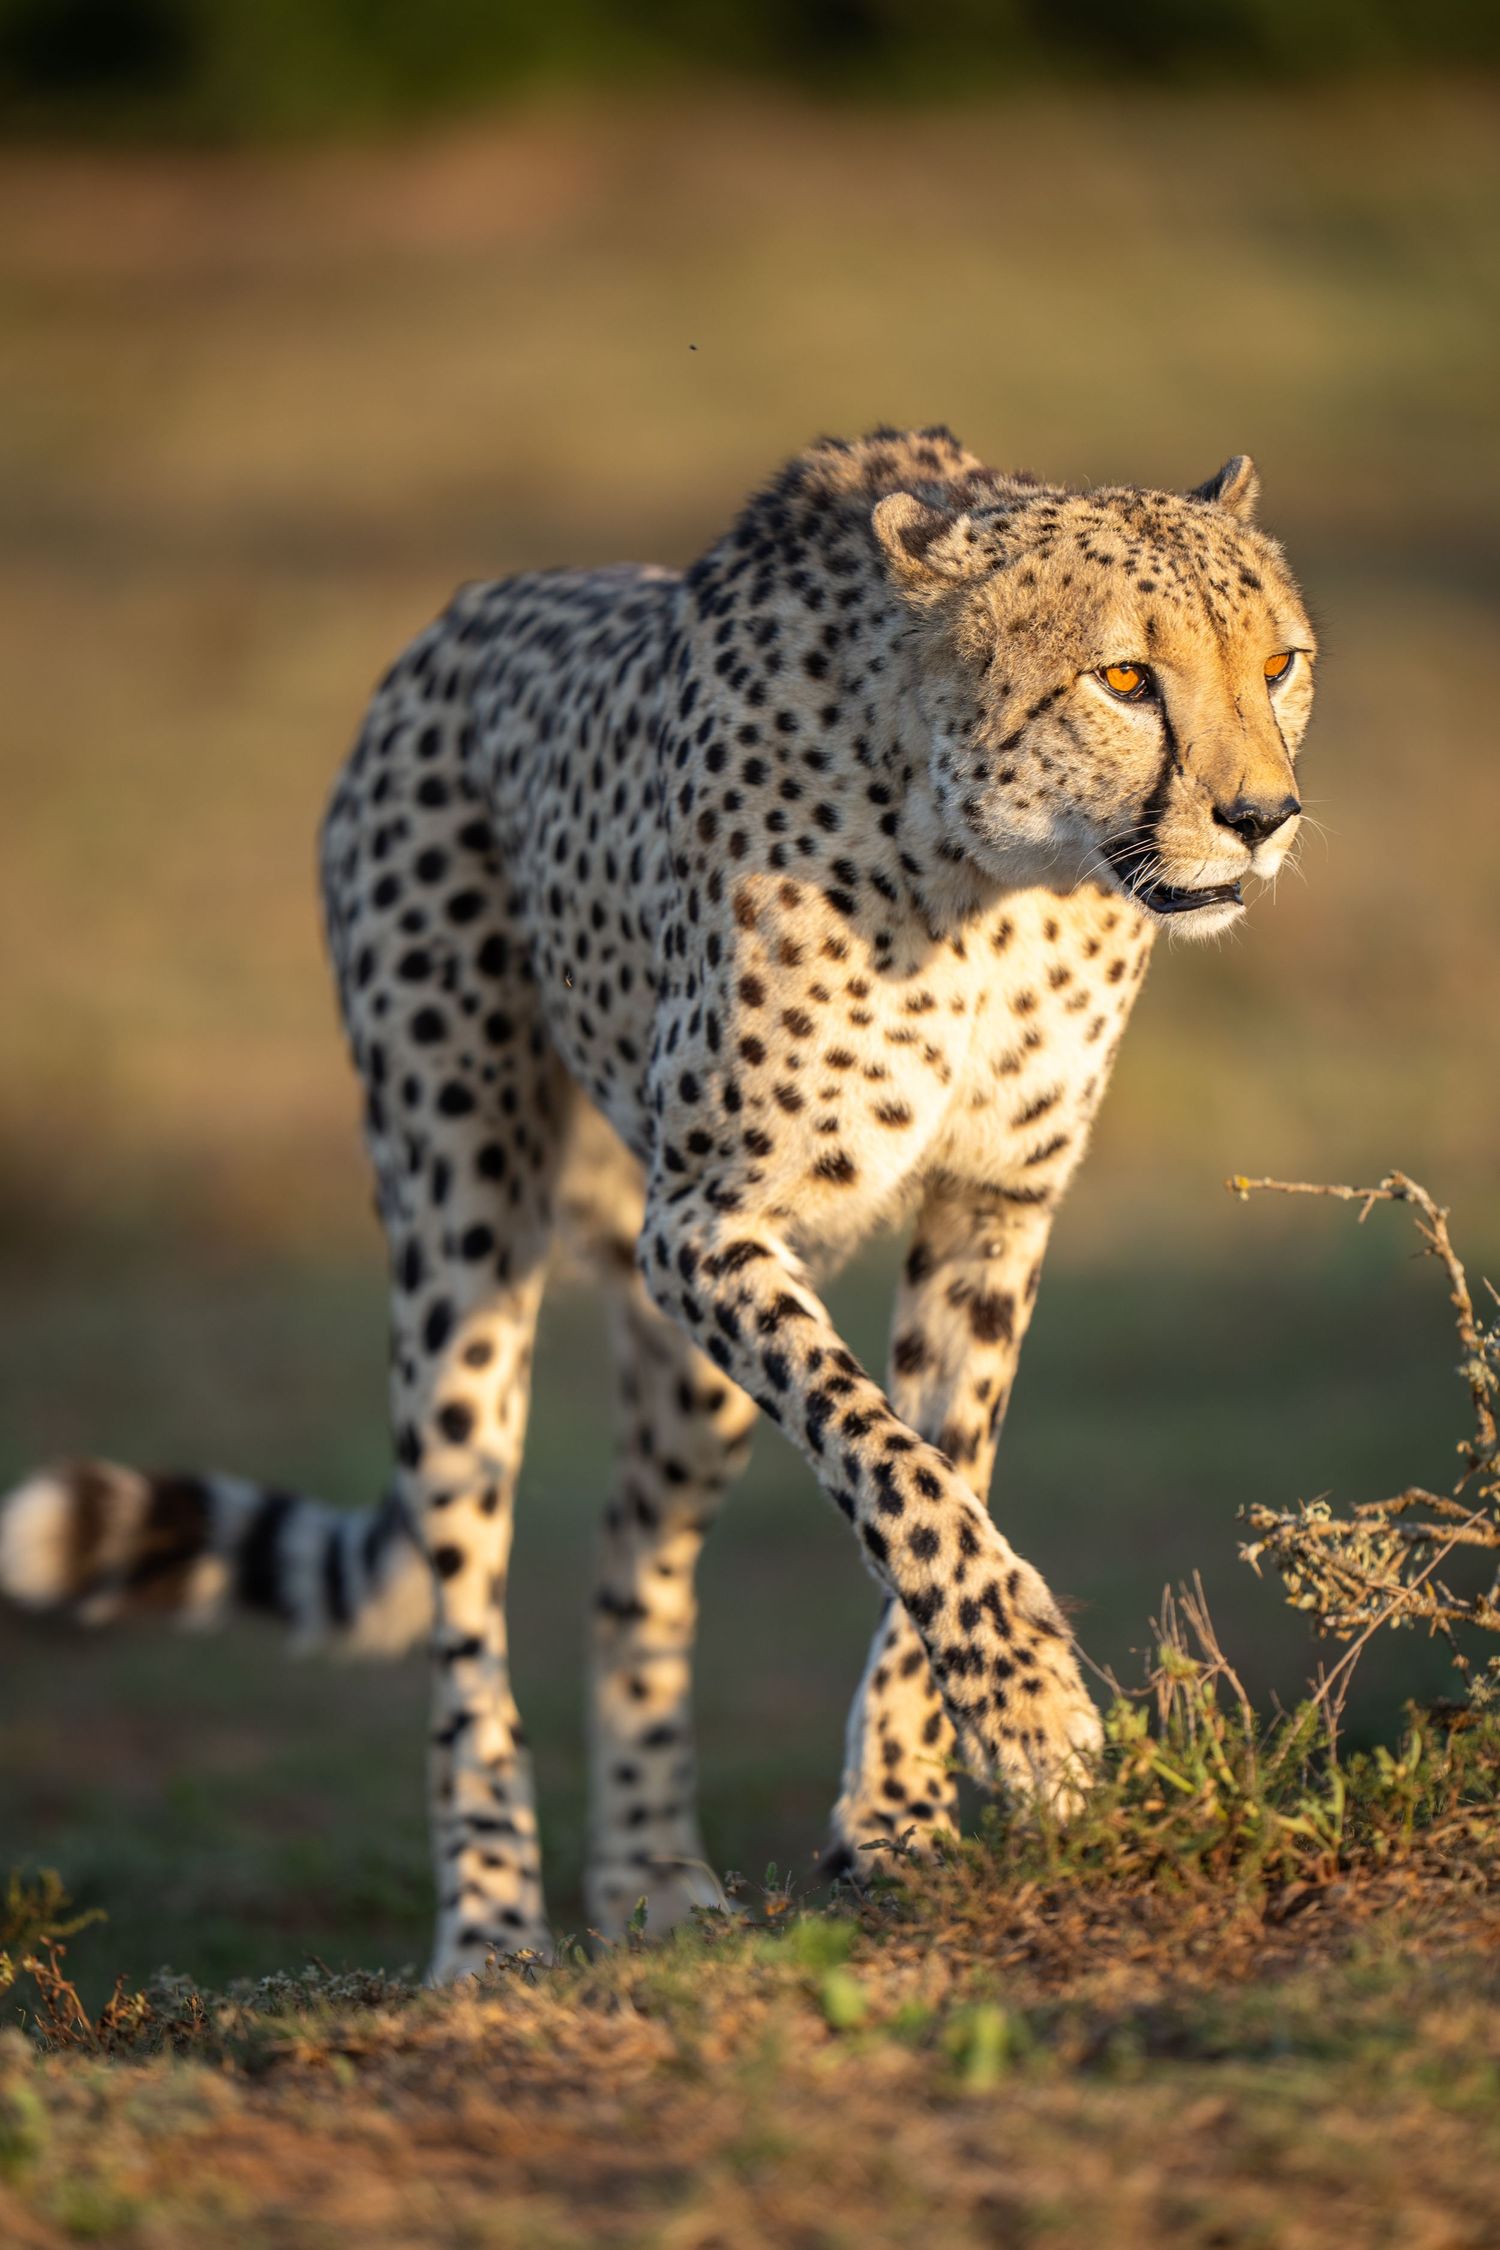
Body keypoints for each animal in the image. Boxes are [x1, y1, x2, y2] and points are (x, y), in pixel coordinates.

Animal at [0, 427, 1315, 1984]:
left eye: (1281, 663)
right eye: (1124, 677)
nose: (1263, 818)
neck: (999, 876)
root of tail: (461, 615)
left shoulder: (989, 1212)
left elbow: (939, 1477)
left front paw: (905, 1811)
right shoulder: (707, 1220)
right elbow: (892, 1468)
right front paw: (1032, 1707)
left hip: (684, 1367)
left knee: (631, 1564)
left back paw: (654, 1886)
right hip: (460, 1242)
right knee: (466, 1599)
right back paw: (491, 1929)